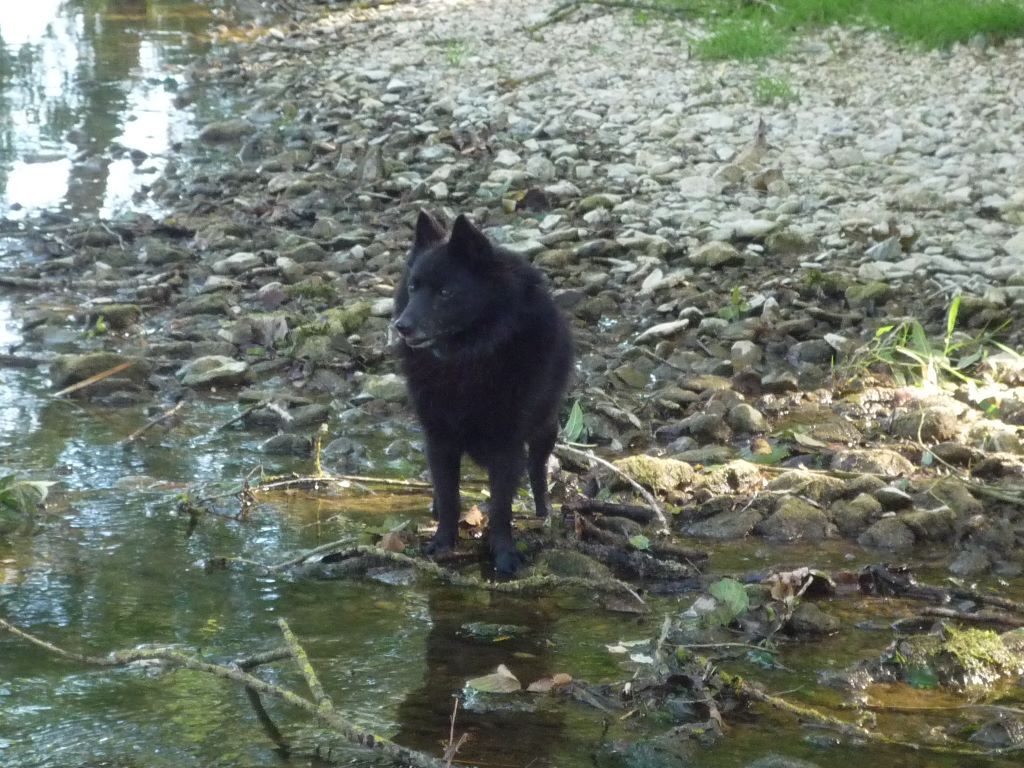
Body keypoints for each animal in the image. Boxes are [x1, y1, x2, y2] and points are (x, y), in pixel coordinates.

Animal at [393, 211, 573, 574]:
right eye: (413, 287)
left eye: (445, 292)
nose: (402, 327)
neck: (465, 359)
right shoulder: (439, 438)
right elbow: (450, 496)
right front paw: (442, 543)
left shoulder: (507, 446)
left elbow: (502, 507)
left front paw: (504, 554)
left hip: (546, 428)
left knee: (538, 469)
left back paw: (543, 512)